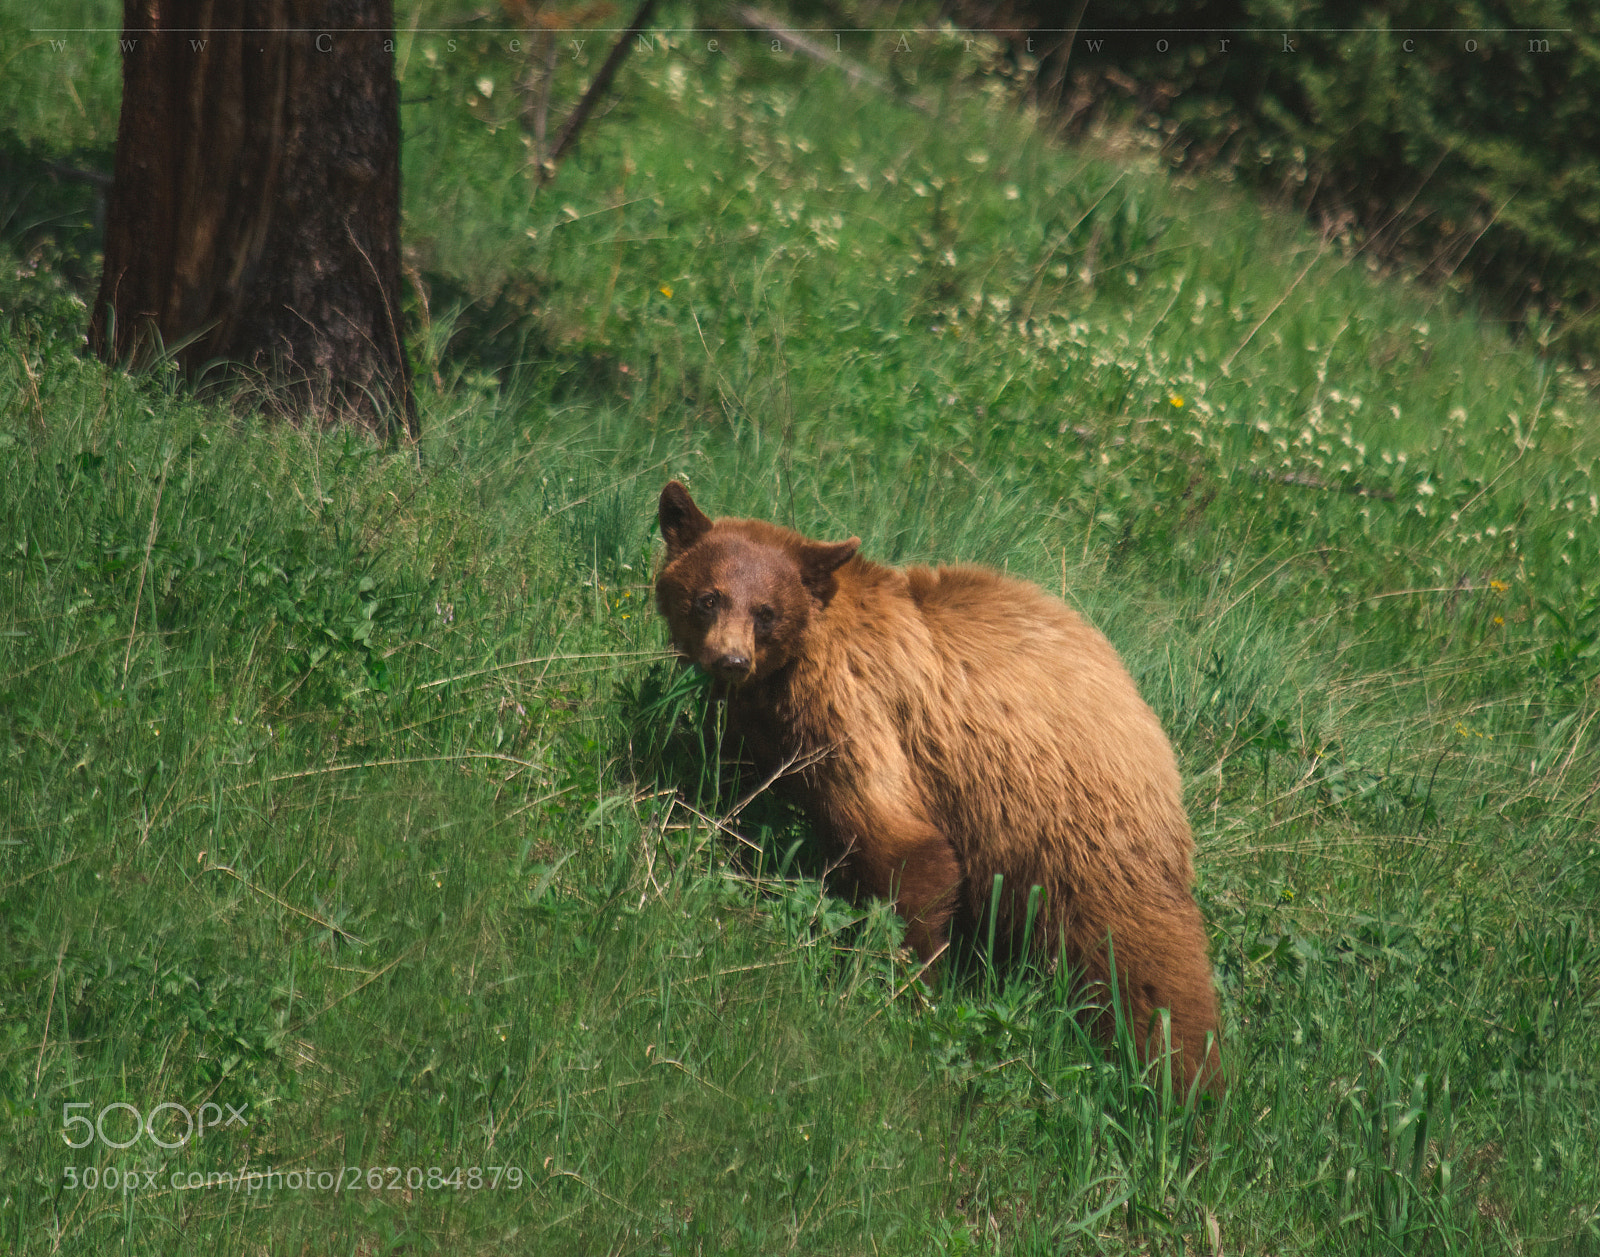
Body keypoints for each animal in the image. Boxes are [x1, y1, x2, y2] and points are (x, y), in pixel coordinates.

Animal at [653, 481, 1222, 1091]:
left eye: (766, 612)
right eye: (708, 598)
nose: (731, 660)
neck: (794, 664)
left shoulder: (857, 706)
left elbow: (905, 846)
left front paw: (903, 986)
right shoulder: (770, 726)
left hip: (1075, 825)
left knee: (1140, 954)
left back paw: (1181, 1078)